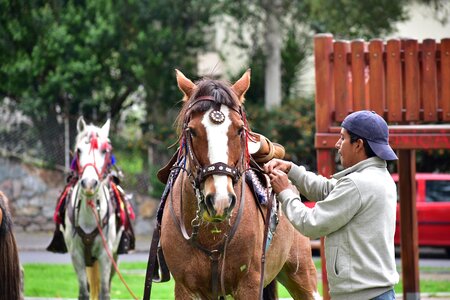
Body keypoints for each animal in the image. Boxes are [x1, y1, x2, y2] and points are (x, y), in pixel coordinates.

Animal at [64, 117, 121, 300]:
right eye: (78, 150)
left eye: (104, 151)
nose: (89, 184)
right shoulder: (76, 255)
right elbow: (83, 292)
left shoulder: (106, 255)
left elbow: (105, 292)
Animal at [159, 69, 320, 298]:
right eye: (192, 131)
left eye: (239, 130)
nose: (220, 201)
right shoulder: (185, 289)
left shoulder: (248, 285)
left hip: (301, 274)